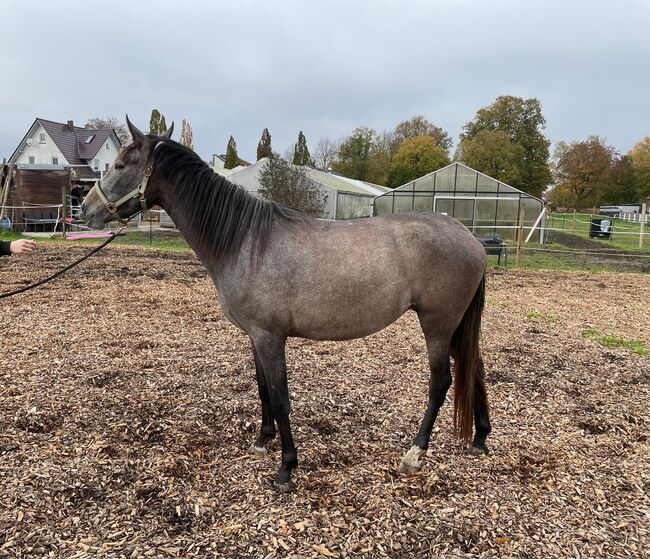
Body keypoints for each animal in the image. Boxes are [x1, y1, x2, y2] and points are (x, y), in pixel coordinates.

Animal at [79, 117, 492, 490]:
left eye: (120, 165)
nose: (85, 208)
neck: (245, 241)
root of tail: (469, 237)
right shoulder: (255, 335)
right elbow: (263, 388)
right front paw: (263, 440)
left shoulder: (269, 336)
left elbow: (280, 398)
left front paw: (286, 469)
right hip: (456, 326)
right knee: (474, 368)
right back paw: (479, 439)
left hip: (437, 324)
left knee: (440, 383)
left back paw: (414, 454)